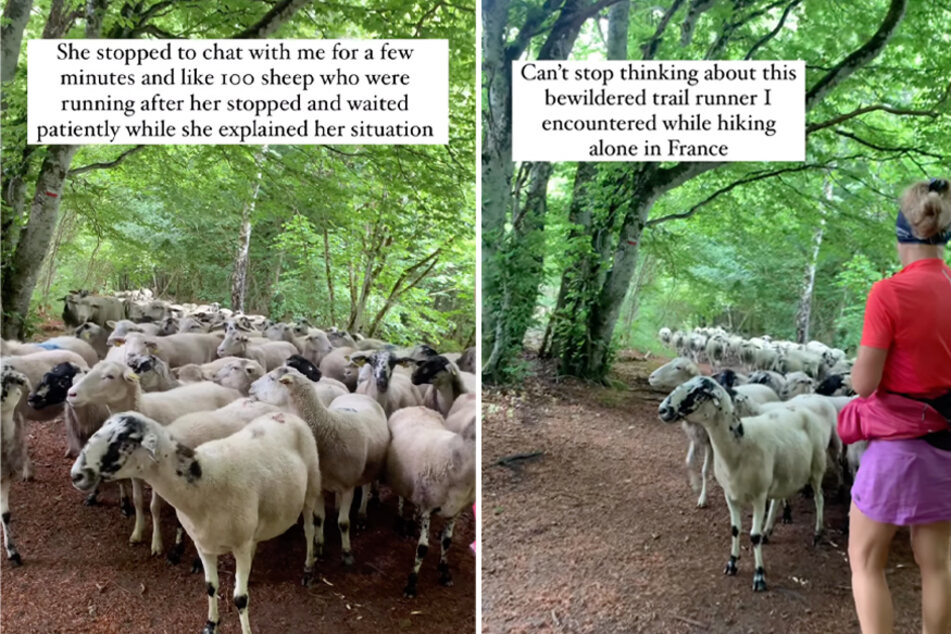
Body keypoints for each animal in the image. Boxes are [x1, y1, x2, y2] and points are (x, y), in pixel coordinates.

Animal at [71, 410, 324, 632]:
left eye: (122, 441)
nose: (76, 475)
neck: (202, 485)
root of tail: (287, 414)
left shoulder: (240, 546)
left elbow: (240, 599)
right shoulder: (203, 546)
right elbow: (210, 587)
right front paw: (211, 624)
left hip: (311, 487)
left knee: (309, 529)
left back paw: (308, 569)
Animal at [660, 372, 828, 592]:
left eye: (698, 391)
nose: (662, 410)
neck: (740, 444)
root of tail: (800, 407)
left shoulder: (759, 496)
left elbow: (753, 536)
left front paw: (759, 576)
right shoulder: (730, 495)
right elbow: (734, 529)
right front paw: (732, 563)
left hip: (817, 467)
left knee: (819, 498)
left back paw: (817, 534)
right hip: (782, 472)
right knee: (778, 499)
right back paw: (768, 531)